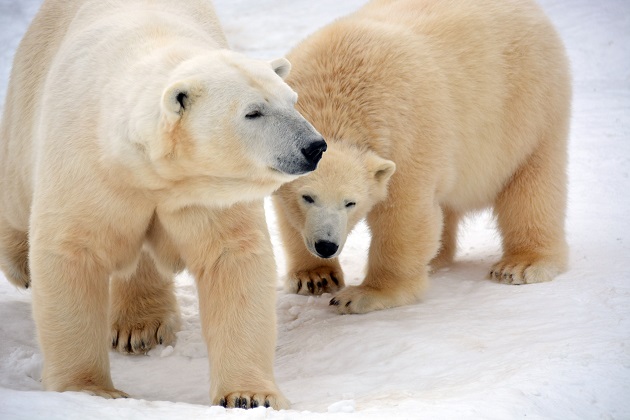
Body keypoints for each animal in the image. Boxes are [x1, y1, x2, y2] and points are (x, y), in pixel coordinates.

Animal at [0, 0, 326, 410]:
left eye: (292, 100)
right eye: (253, 111)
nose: (314, 146)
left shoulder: (204, 193)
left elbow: (232, 258)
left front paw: (250, 396)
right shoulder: (88, 164)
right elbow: (74, 252)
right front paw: (90, 389)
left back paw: (140, 325)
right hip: (29, 91)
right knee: (15, 189)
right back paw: (20, 264)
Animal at [274, 0, 576, 316]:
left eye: (350, 202)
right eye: (307, 197)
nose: (326, 245)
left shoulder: (406, 138)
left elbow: (404, 215)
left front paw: (361, 295)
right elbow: (289, 216)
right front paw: (315, 277)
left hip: (529, 109)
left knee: (531, 187)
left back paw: (521, 265)